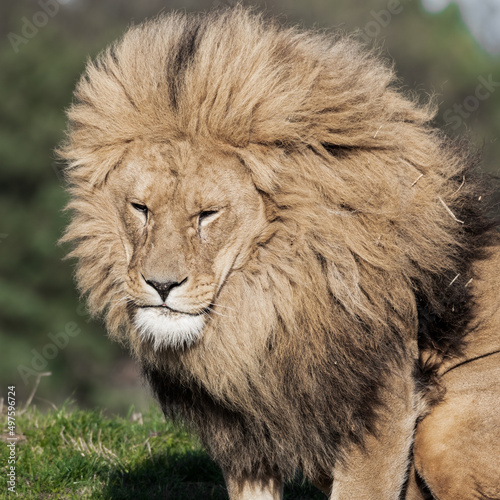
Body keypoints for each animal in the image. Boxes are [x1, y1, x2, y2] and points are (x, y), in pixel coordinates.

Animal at [59, 7, 500, 500]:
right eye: (141, 208)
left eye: (207, 214)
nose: (161, 285)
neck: (270, 299)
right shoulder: (247, 436)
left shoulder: (382, 403)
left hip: (444, 431)